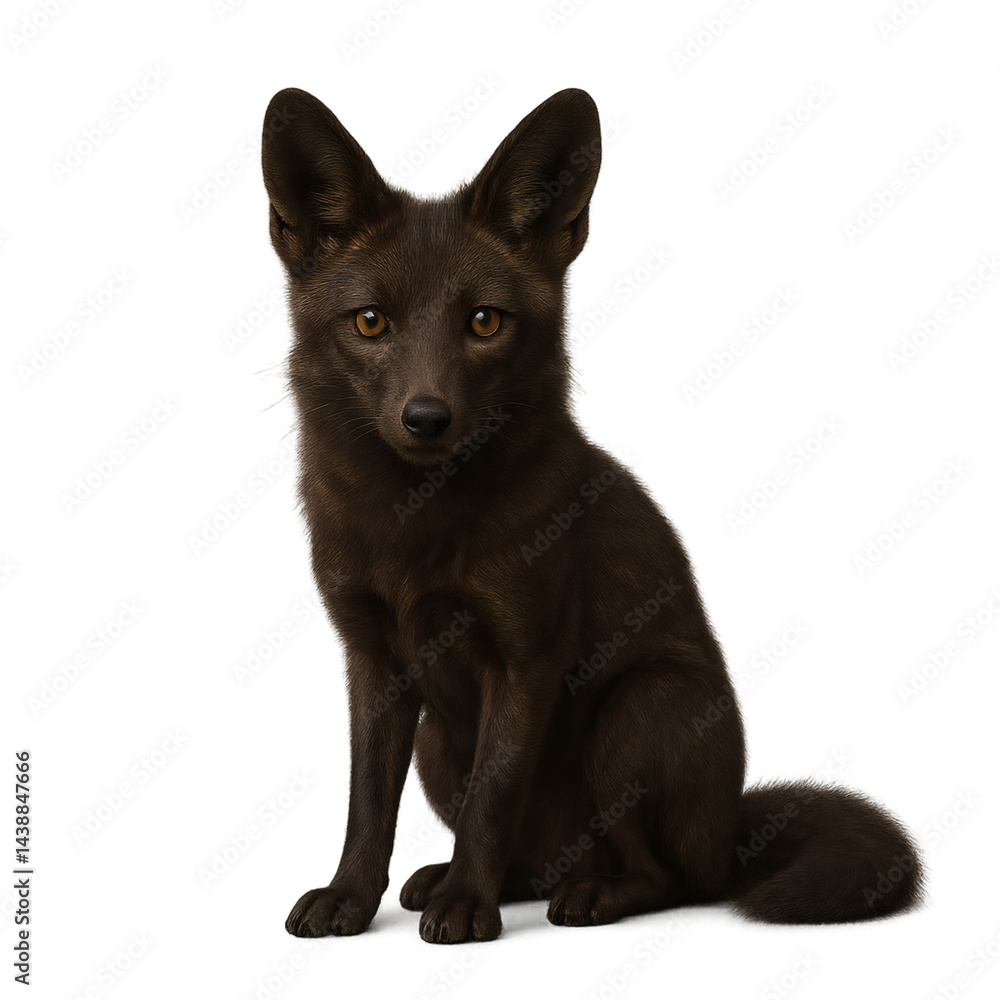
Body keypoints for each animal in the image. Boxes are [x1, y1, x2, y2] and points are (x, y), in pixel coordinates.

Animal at [261, 86, 924, 944]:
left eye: (485, 321)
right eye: (370, 321)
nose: (427, 419)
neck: (415, 529)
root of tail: (731, 835)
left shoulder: (525, 661)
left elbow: (493, 799)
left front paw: (465, 910)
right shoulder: (373, 662)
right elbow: (368, 803)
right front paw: (349, 896)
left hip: (635, 714)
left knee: (670, 878)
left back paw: (588, 896)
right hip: (443, 742)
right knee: (537, 859)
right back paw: (469, 881)